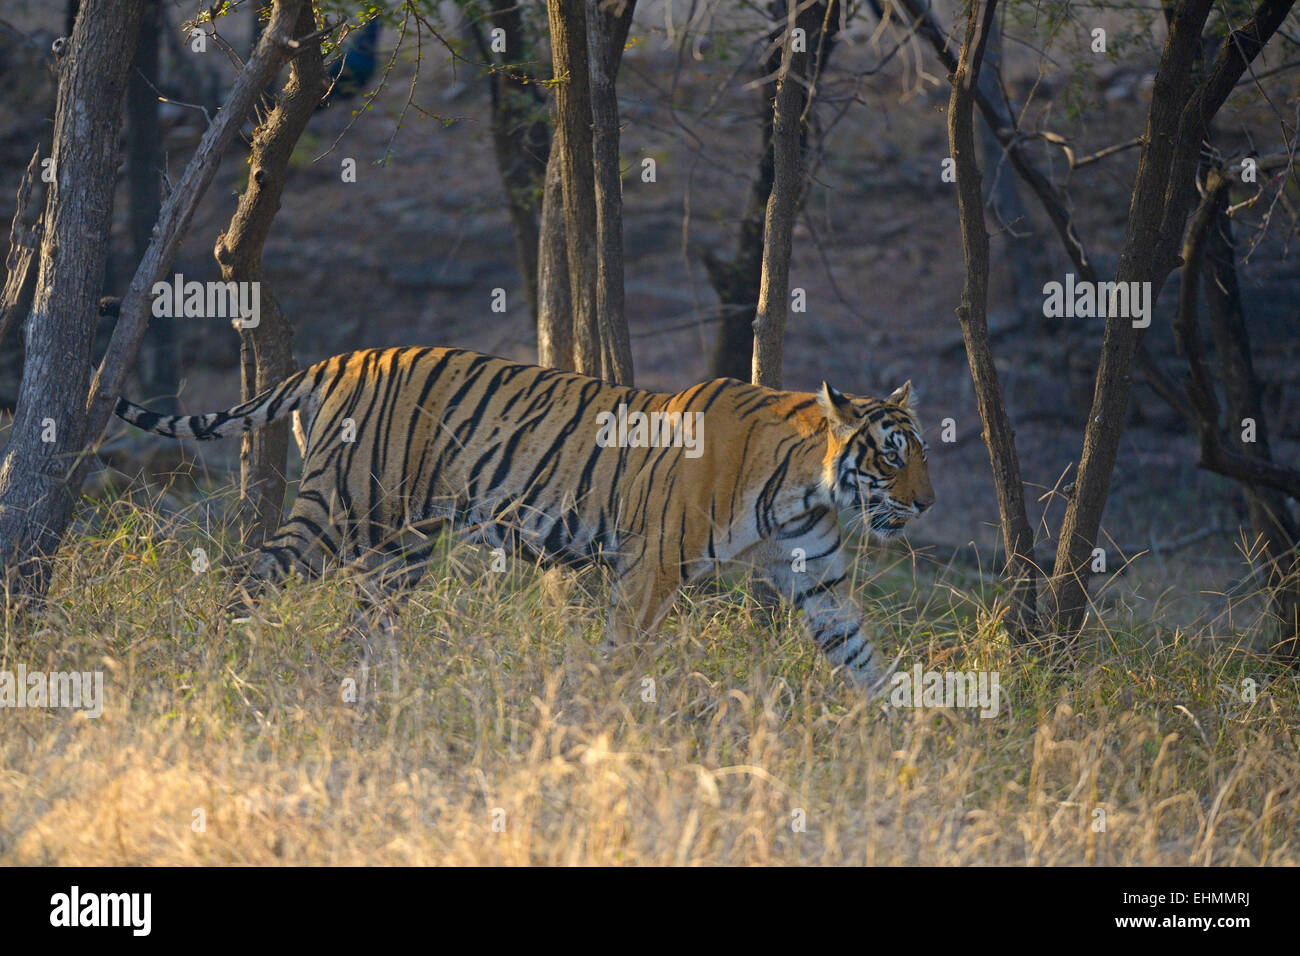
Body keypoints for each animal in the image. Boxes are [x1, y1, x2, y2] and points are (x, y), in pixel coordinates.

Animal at [115, 346, 934, 686]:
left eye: (921, 451)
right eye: (893, 456)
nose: (927, 504)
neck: (806, 484)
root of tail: (337, 360)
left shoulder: (816, 577)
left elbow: (863, 656)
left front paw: (907, 736)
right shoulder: (651, 566)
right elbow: (622, 651)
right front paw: (607, 719)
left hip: (401, 550)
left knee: (361, 628)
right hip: (336, 514)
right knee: (244, 577)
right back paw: (214, 657)